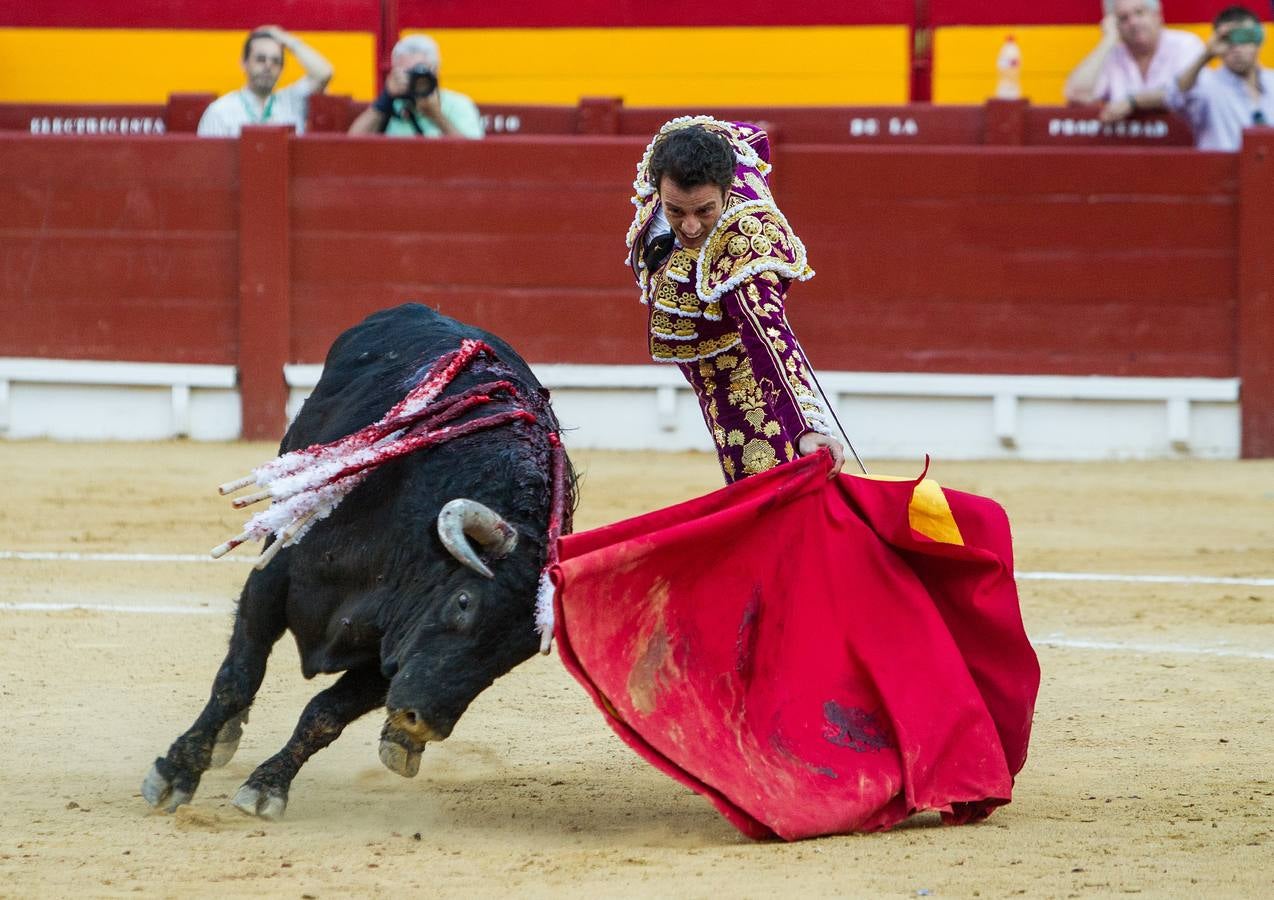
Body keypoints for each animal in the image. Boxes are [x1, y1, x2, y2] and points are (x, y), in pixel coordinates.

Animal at [142, 304, 575, 815]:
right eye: (464, 602)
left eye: (518, 654)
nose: (422, 721)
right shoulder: (272, 581)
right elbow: (238, 677)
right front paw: (176, 772)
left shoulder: (391, 647)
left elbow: (325, 714)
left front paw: (267, 786)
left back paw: (401, 746)